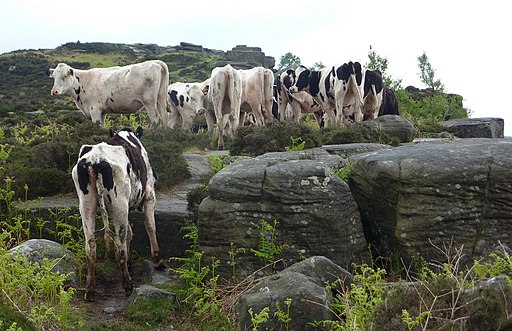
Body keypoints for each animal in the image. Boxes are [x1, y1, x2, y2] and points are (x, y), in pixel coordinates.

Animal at [72, 127, 163, 304]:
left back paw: (90, 290)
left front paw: (130, 264)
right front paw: (157, 260)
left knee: (91, 246)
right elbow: (150, 226)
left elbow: (130, 232)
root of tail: (96, 159)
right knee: (119, 246)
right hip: (119, 204)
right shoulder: (149, 195)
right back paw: (127, 285)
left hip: (86, 205)